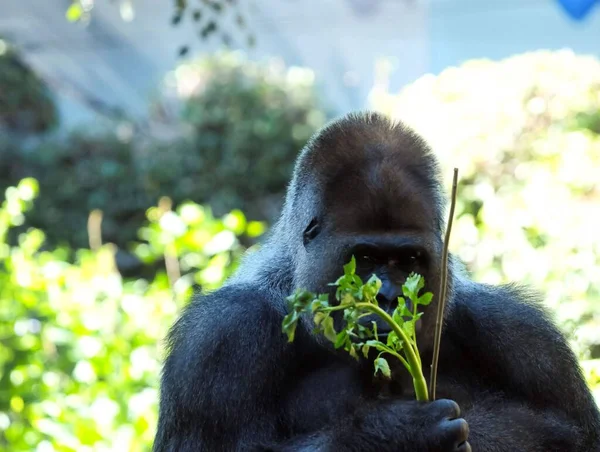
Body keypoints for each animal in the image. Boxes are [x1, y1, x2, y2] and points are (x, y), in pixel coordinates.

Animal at [155, 113, 600, 452]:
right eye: (365, 258)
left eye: (410, 261)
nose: (388, 298)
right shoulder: (220, 338)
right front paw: (401, 435)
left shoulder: (523, 332)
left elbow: (574, 435)